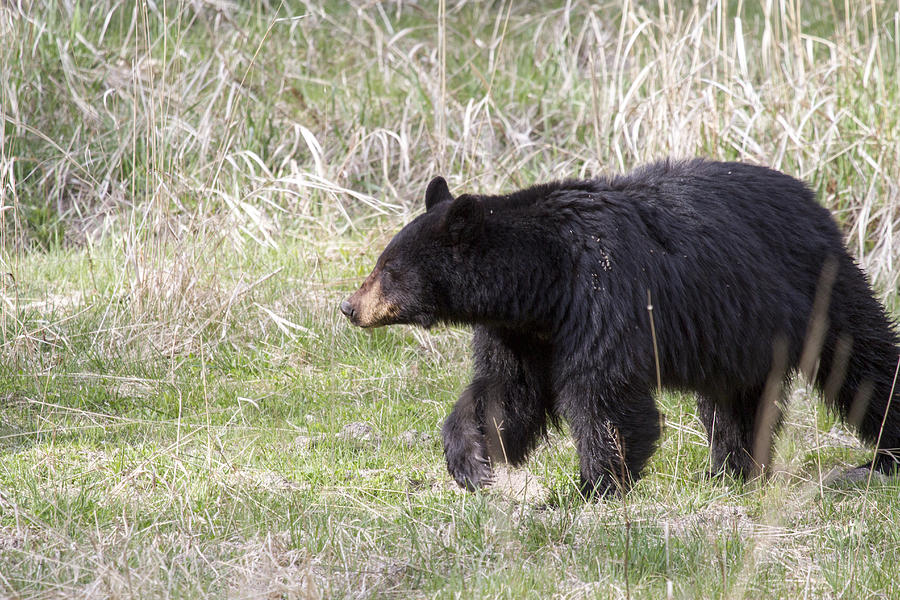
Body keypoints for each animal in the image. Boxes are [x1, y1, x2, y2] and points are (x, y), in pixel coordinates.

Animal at [340, 161, 900, 496]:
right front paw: (470, 461)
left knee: (864, 360)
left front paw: (591, 486)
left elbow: (601, 394)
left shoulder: (604, 295)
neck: (545, 281)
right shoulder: (519, 331)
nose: (349, 307)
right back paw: (730, 470)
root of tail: (814, 200)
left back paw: (882, 456)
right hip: (739, 333)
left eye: (390, 269)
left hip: (818, 285)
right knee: (737, 402)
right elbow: (506, 393)